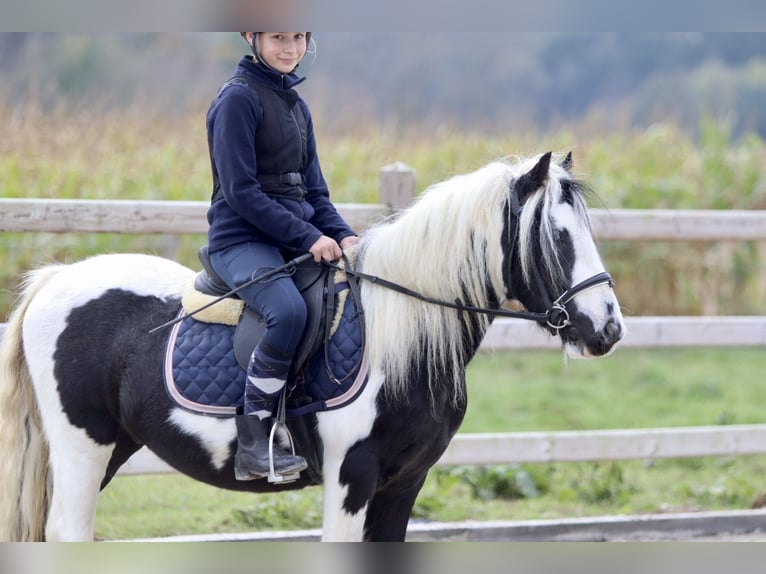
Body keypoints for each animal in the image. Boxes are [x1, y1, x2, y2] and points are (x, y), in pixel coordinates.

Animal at [0, 151, 624, 544]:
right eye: (556, 238)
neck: (400, 336)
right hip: (82, 447)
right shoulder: (351, 480)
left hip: (110, 448)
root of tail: (55, 280)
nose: (609, 328)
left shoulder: (404, 484)